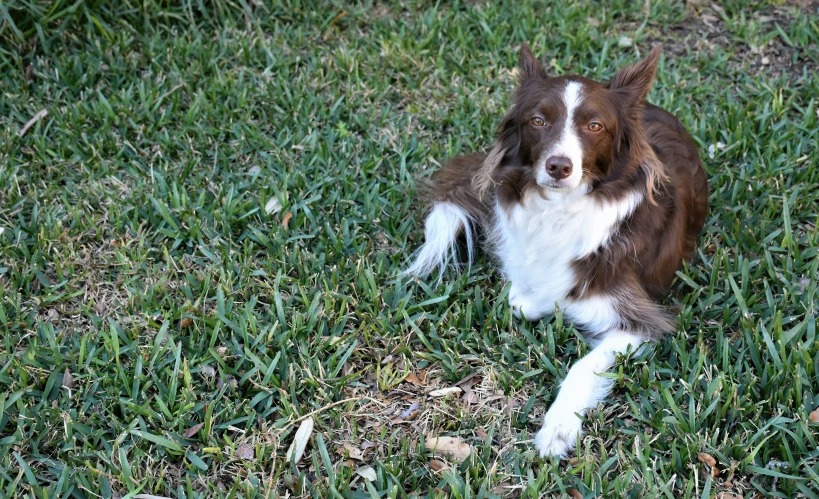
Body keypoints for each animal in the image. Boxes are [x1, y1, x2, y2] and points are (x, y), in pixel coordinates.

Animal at [400, 45, 708, 458]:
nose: (558, 166)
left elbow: (584, 365)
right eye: (538, 120)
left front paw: (558, 428)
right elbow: (522, 298)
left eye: (595, 126)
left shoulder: (638, 321)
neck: (559, 210)